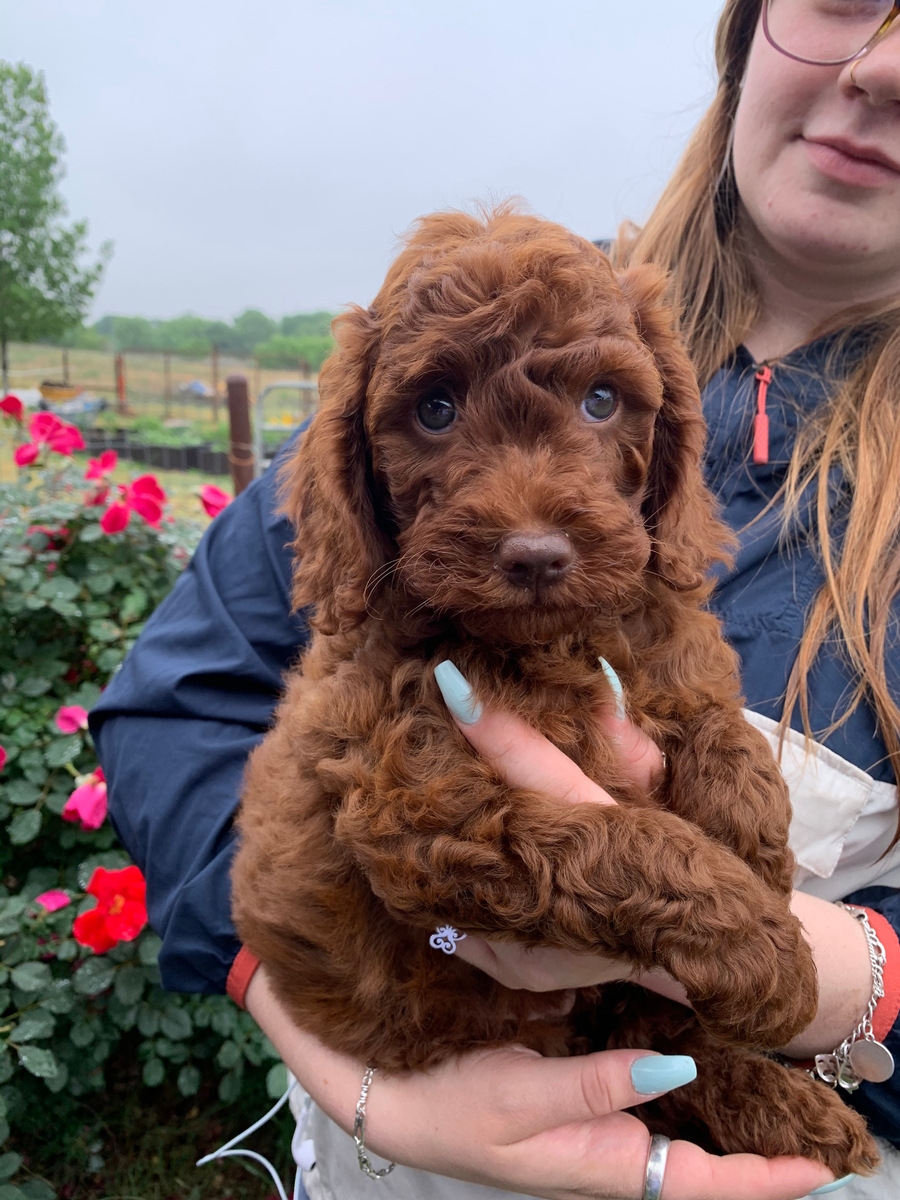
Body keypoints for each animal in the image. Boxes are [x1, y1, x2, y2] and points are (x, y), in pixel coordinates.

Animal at [232, 204, 883, 1171]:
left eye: (601, 401)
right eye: (435, 410)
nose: (536, 555)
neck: (546, 643)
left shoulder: (659, 634)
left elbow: (715, 719)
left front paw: (753, 844)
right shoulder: (422, 802)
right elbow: (617, 840)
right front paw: (762, 947)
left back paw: (793, 1110)